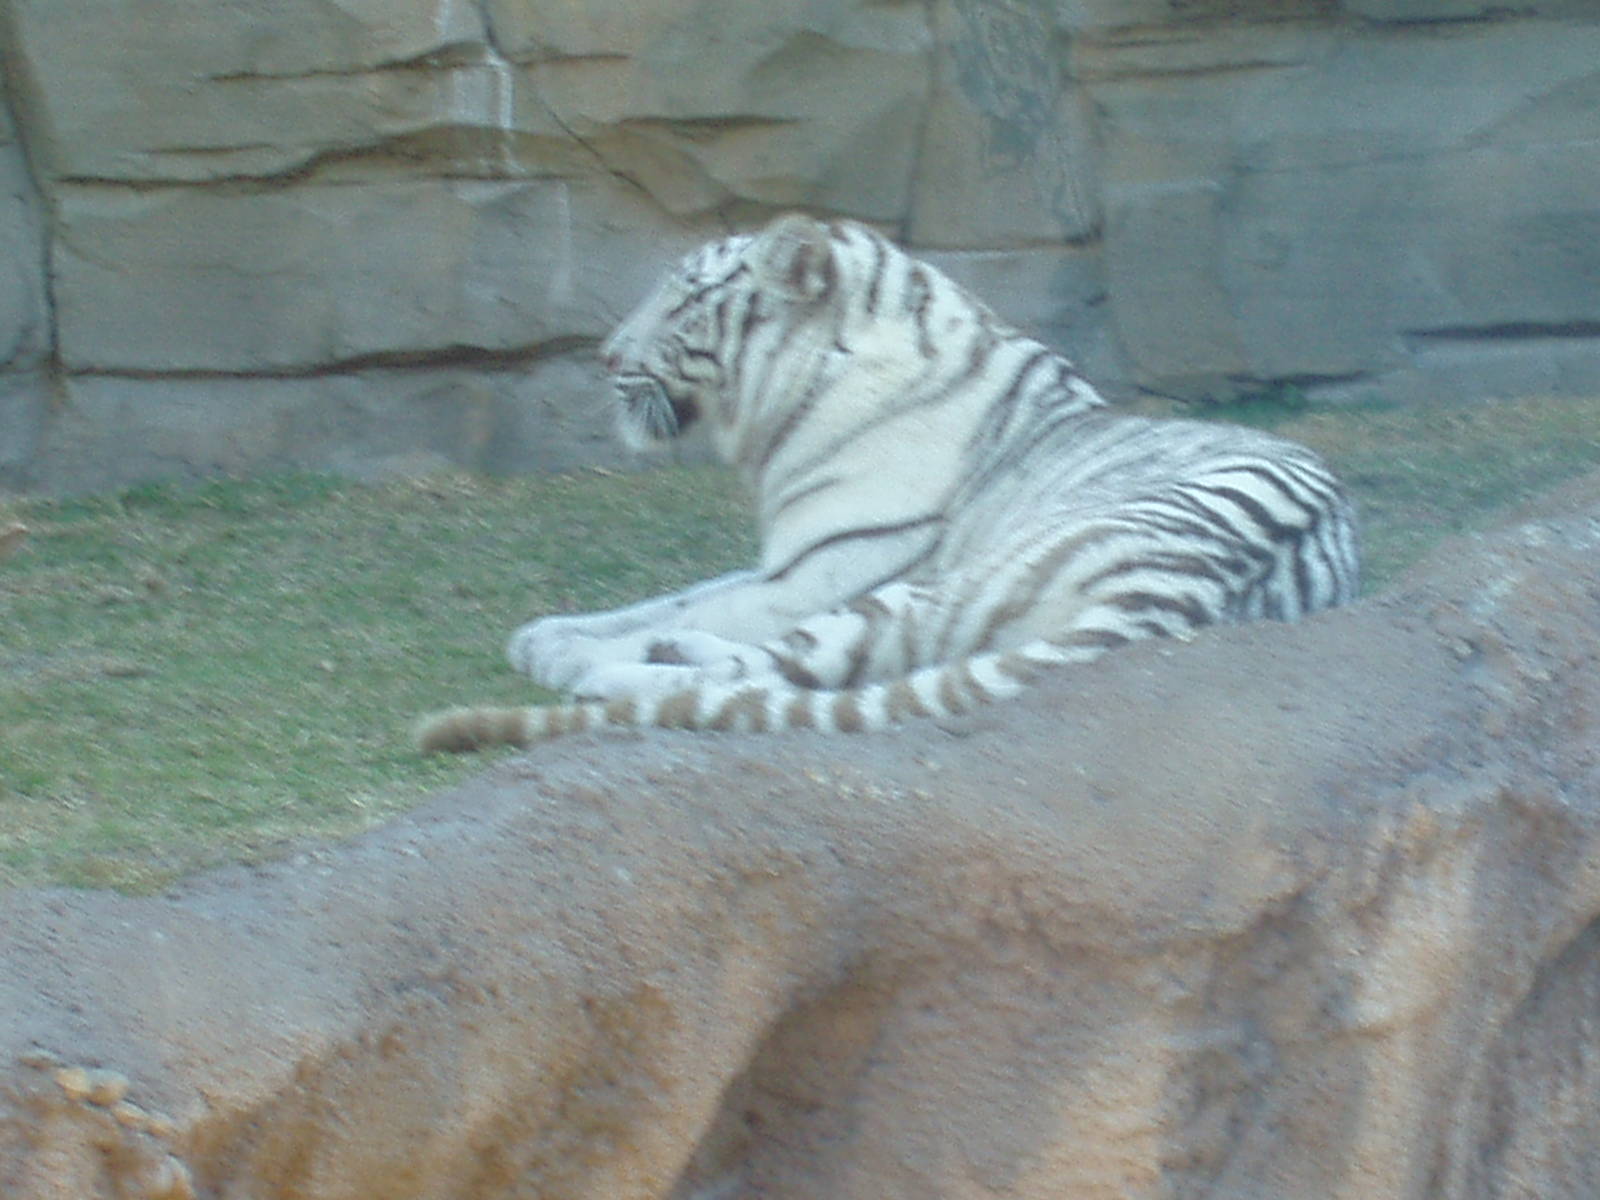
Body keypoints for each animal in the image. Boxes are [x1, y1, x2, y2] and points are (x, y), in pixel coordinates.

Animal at [416, 213, 1359, 753]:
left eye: (683, 300)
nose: (608, 359)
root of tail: (1177, 597)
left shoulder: (817, 572)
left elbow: (701, 614)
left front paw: (560, 648)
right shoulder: (785, 562)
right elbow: (665, 598)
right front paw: (549, 628)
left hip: (928, 592)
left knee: (762, 673)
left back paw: (615, 670)